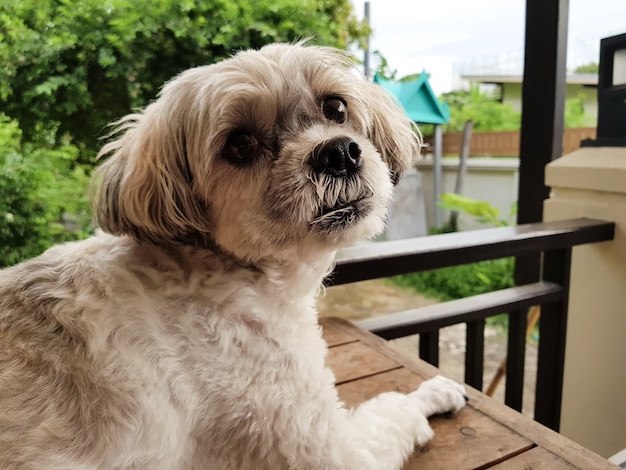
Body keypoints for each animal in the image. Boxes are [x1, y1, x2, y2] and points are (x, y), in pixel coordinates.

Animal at [0, 42, 464, 468]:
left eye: (335, 106)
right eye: (239, 145)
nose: (338, 152)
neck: (222, 268)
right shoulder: (323, 445)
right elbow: (394, 409)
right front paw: (433, 393)